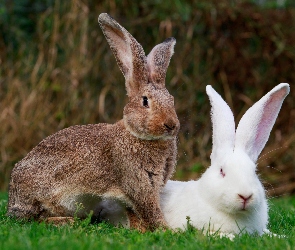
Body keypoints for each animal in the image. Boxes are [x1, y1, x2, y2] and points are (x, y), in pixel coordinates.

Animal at [7, 13, 180, 230]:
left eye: (172, 100)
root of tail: (12, 201)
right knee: (34, 218)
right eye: (145, 101)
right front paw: (168, 231)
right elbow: (150, 210)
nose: (171, 125)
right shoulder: (138, 183)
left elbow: (134, 213)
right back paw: (67, 222)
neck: (136, 135)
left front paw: (140, 230)